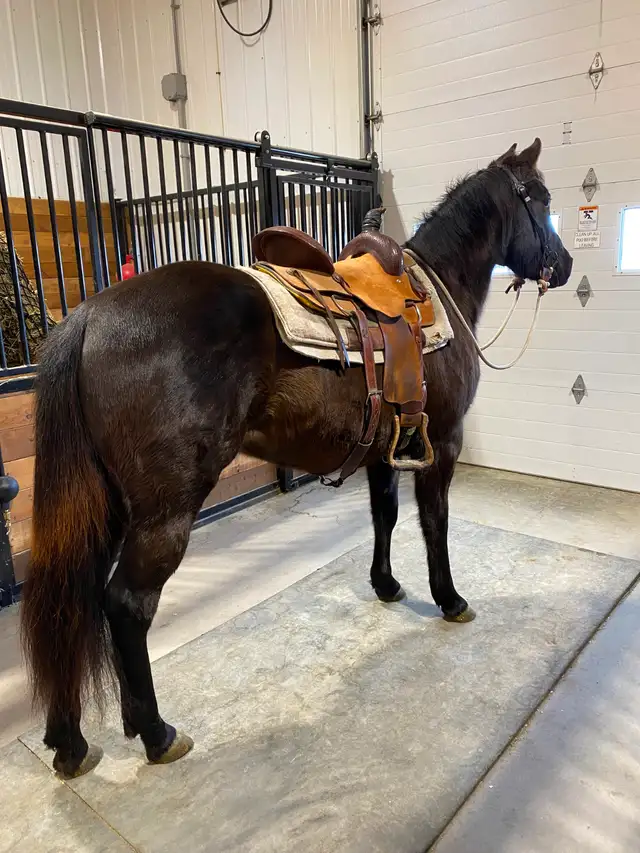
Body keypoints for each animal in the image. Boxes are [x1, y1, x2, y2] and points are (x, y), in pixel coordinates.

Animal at [21, 138, 573, 778]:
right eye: (541, 199)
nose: (563, 265)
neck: (433, 293)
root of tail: (90, 316)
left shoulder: (385, 453)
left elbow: (384, 517)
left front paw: (386, 585)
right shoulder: (442, 446)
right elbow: (434, 524)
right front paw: (450, 599)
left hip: (104, 506)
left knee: (73, 600)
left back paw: (72, 740)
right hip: (163, 512)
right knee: (127, 605)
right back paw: (157, 733)